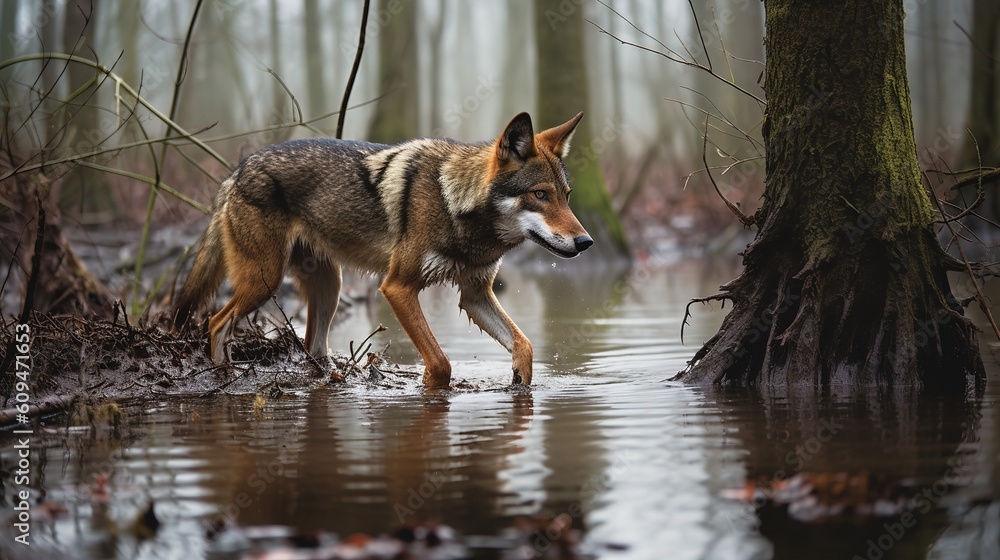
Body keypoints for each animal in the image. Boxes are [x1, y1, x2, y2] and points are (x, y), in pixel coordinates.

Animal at [173, 112, 593, 388]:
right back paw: (222, 379)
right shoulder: (398, 287)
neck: (454, 202)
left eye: (567, 196)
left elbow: (525, 346)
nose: (586, 242)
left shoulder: (475, 294)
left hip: (329, 289)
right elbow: (441, 363)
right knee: (215, 323)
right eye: (540, 195)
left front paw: (520, 382)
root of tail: (237, 170)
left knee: (313, 347)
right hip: (265, 282)